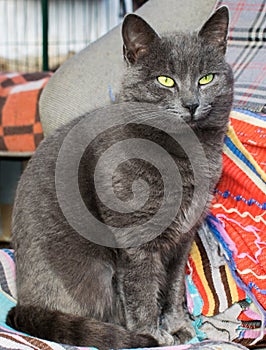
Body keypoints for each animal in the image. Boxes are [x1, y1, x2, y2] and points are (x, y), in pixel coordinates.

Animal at [7, 7, 233, 350]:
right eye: (165, 80)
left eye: (206, 78)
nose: (192, 104)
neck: (188, 153)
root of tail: (24, 300)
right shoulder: (135, 236)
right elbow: (142, 289)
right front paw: (152, 334)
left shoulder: (183, 237)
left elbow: (175, 286)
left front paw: (179, 326)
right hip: (94, 272)